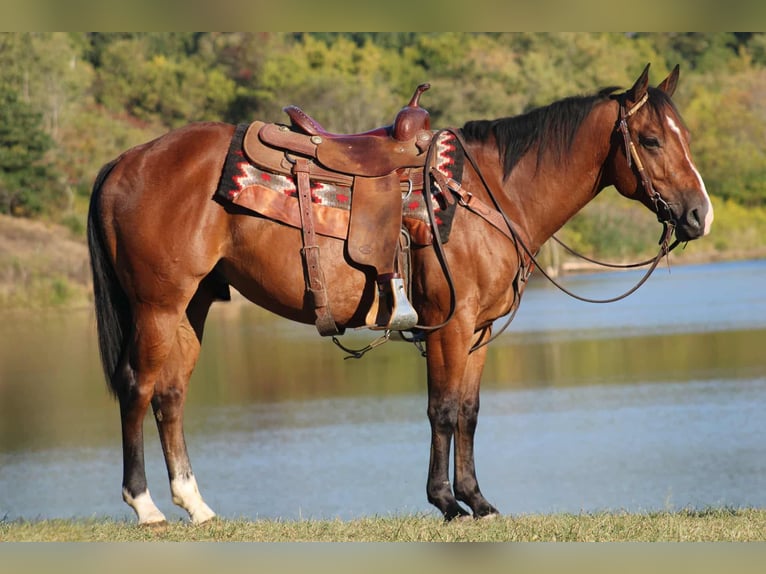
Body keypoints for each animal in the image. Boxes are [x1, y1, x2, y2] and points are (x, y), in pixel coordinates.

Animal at [87, 64, 713, 524]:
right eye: (651, 139)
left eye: (685, 136)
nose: (699, 215)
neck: (487, 194)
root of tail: (125, 160)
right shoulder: (449, 323)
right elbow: (442, 409)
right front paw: (446, 502)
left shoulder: (479, 330)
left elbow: (469, 412)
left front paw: (477, 500)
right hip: (157, 307)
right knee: (139, 388)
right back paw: (145, 506)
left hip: (191, 307)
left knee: (170, 395)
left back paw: (196, 505)